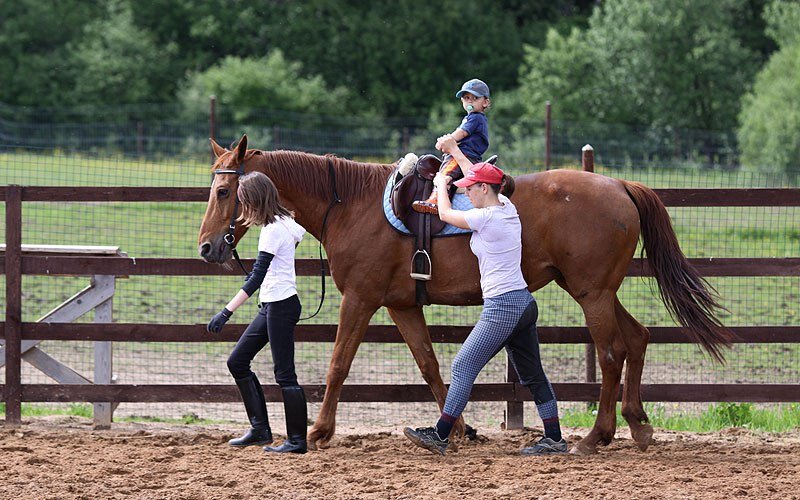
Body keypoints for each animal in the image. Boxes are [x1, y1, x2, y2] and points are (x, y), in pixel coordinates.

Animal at [197, 135, 736, 456]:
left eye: (224, 192)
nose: (206, 247)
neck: (350, 204)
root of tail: (619, 185)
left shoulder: (362, 300)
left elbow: (338, 365)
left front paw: (318, 431)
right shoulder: (402, 305)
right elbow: (431, 365)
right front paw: (456, 429)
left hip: (592, 293)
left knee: (611, 351)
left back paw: (595, 436)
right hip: (595, 289)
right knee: (638, 339)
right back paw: (638, 426)